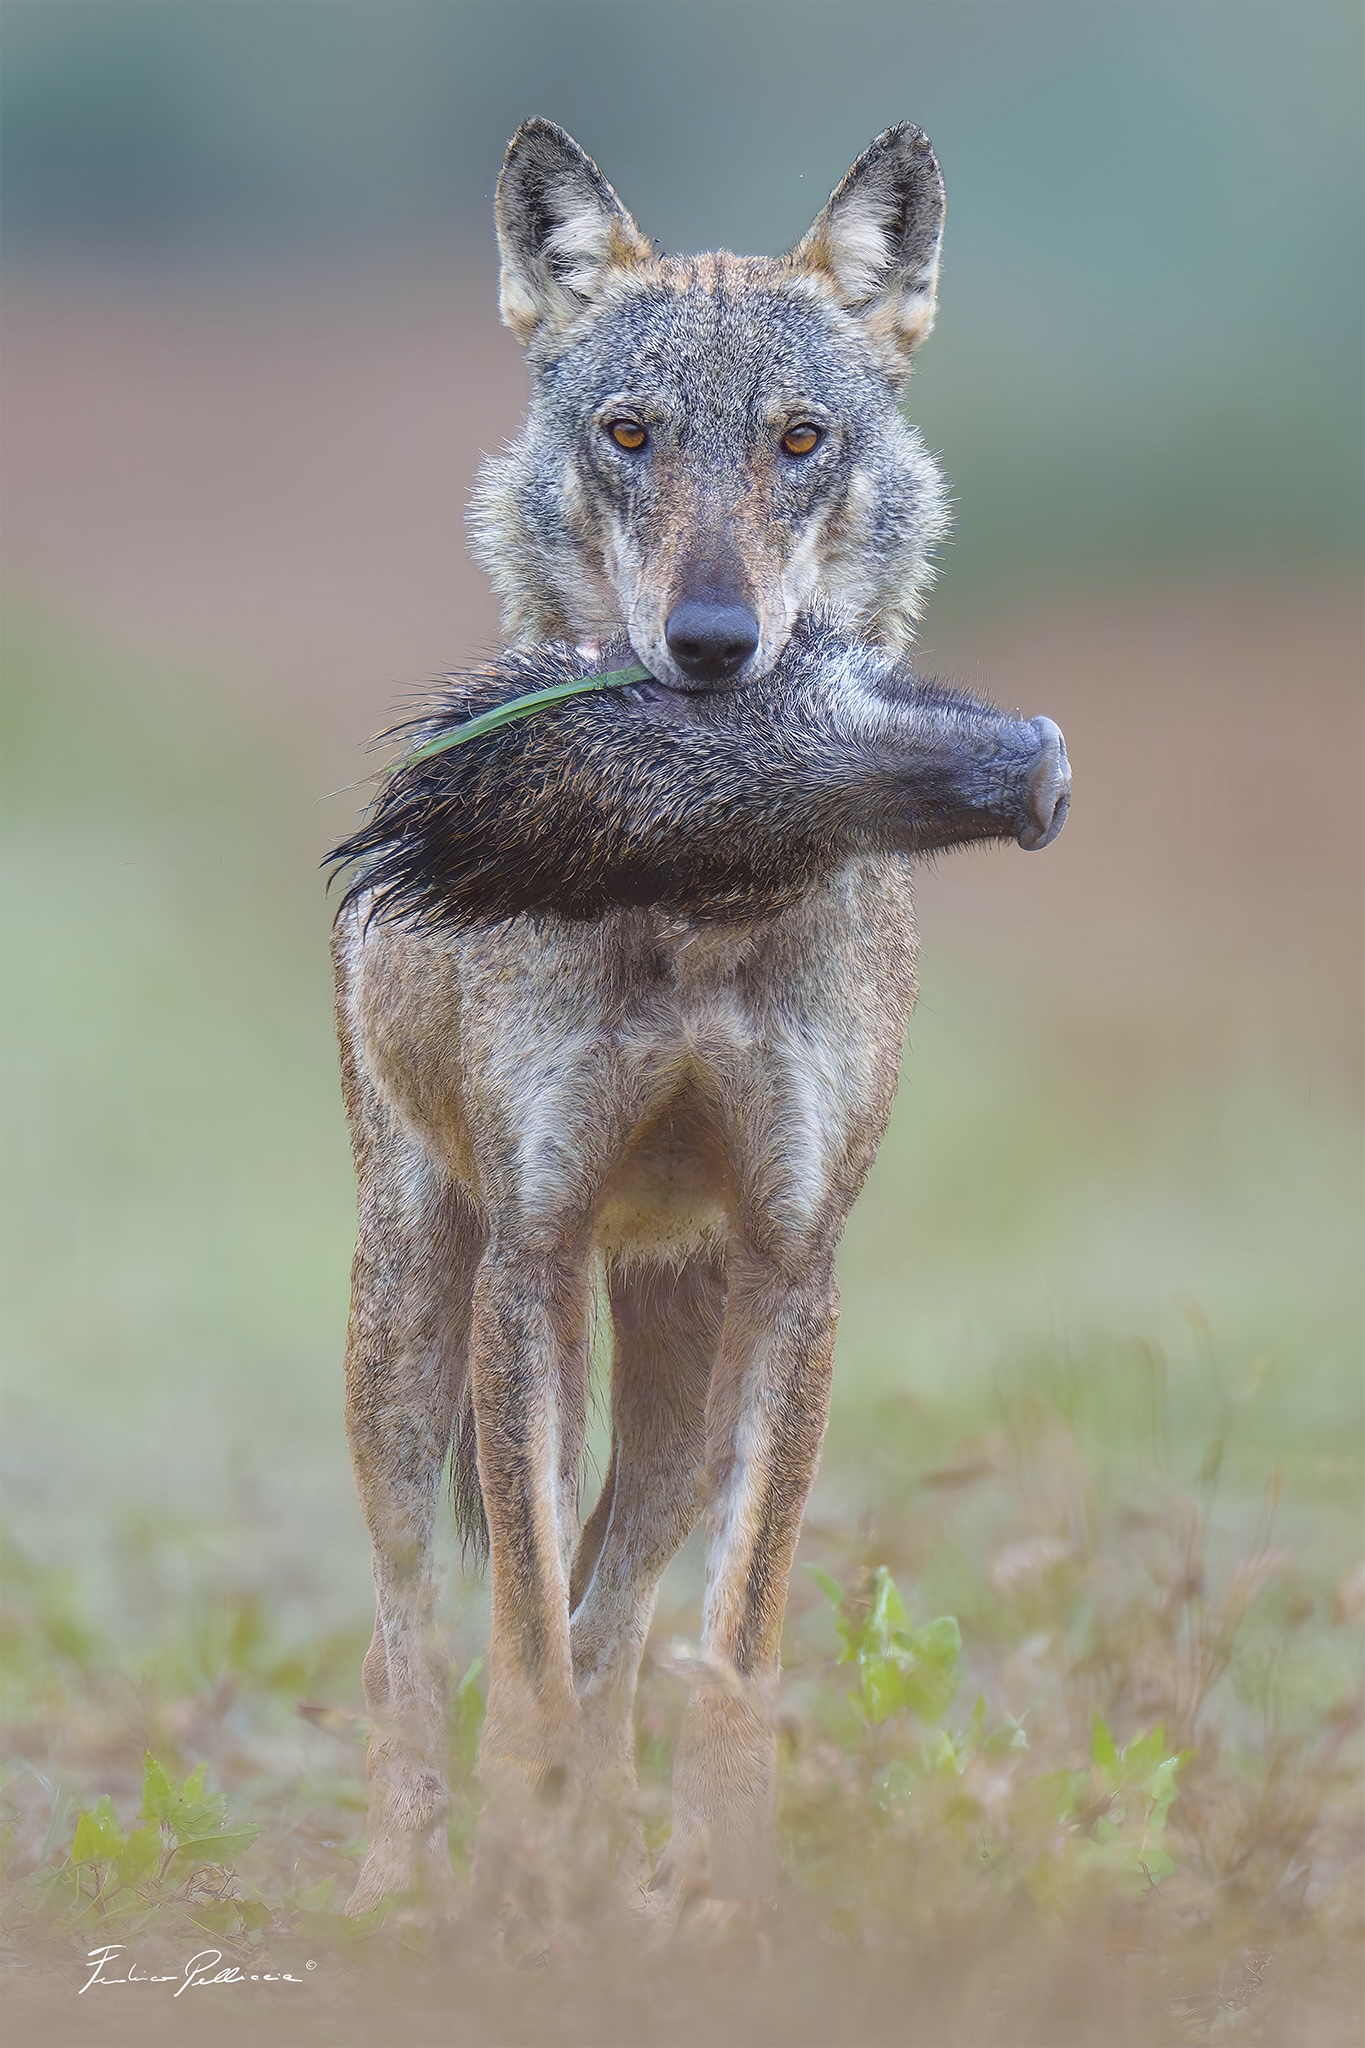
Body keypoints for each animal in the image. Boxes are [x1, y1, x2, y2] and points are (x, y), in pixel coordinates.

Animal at [333, 119, 1066, 1930]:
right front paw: (512, 1892)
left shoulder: (798, 1269)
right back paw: (408, 1879)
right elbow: (515, 1645)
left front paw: (720, 1902)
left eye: (800, 441)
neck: (693, 887)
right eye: (630, 435)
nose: (715, 645)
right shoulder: (531, 1253)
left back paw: (606, 1867)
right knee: (412, 1631)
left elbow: (730, 1654)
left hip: (675, 1359)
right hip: (415, 1316)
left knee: (618, 1609)